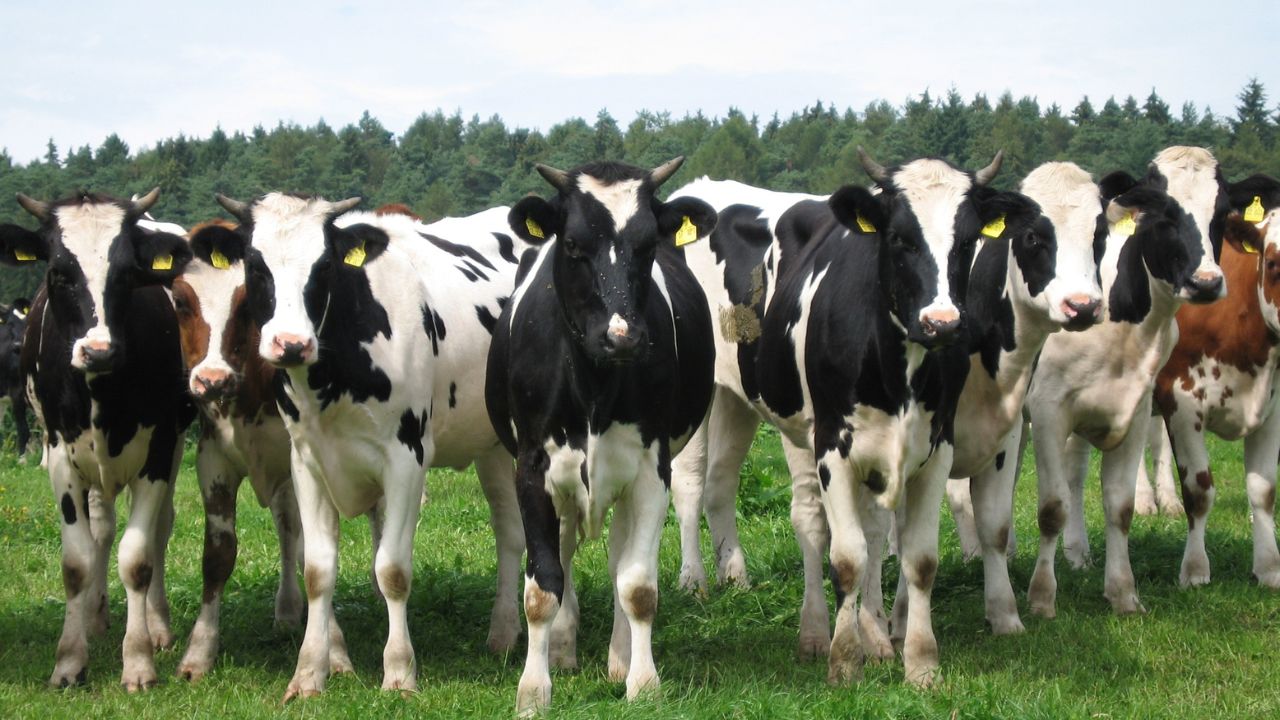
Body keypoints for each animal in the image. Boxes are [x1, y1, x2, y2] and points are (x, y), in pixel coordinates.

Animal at [0, 189, 194, 690]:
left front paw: (140, 659)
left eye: (129, 273)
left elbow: (138, 558)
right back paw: (93, 616)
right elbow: (77, 561)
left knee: (158, 530)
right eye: (57, 273)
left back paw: (156, 625)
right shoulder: (60, 458)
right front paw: (70, 659)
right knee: (101, 530)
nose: (99, 350)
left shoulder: (158, 451)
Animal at [197, 194, 526, 700]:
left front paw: (399, 672)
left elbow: (392, 570)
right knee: (509, 530)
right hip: (489, 445)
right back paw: (504, 634)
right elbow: (317, 571)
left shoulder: (407, 462)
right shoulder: (306, 463)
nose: (291, 344)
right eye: (255, 265)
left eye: (324, 265)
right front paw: (308, 674)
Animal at [488, 157, 715, 714]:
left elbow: (637, 584)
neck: (592, 382)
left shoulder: (652, 470)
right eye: (572, 244)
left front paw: (643, 682)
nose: (623, 337)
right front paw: (534, 689)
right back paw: (564, 648)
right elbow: (543, 586)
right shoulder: (532, 469)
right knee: (567, 550)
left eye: (648, 245)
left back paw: (617, 657)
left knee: (617, 557)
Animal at [1020, 146, 1228, 619]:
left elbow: (1119, 505)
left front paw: (1122, 593)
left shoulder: (1133, 406)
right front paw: (1041, 598)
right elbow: (1051, 507)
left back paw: (1075, 554)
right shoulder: (1047, 408)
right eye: (1165, 214)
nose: (1206, 283)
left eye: (1222, 213)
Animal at [1151, 173, 1280, 588]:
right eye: (1273, 263)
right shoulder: (1180, 399)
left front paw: (1269, 567)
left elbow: (1263, 490)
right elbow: (1200, 489)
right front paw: (1194, 570)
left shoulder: (1273, 409)